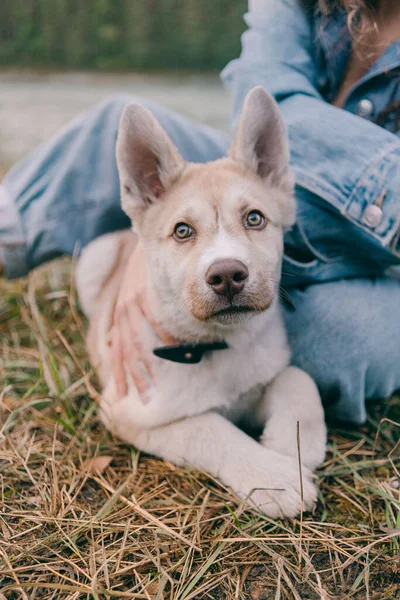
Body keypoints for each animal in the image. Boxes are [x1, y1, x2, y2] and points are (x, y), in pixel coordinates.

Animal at [76, 86, 326, 516]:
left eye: (255, 218)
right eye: (182, 230)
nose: (227, 276)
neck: (220, 347)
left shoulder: (264, 373)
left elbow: (298, 377)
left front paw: (293, 443)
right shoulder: (128, 412)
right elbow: (211, 428)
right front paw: (275, 477)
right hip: (92, 261)